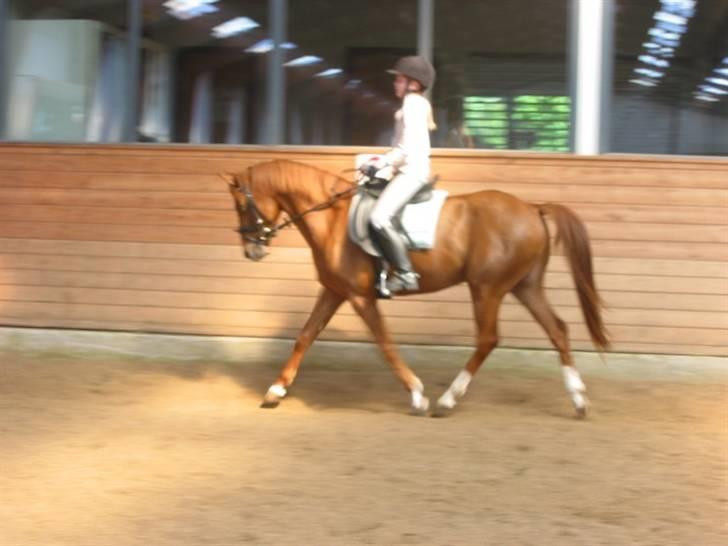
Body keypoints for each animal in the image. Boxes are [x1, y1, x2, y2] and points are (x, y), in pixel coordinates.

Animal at [223, 159, 609, 417]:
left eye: (242, 205)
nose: (251, 251)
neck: (332, 220)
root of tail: (532, 207)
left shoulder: (360, 297)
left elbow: (385, 344)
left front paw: (417, 396)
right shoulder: (333, 291)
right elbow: (305, 336)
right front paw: (275, 391)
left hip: (487, 288)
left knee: (488, 339)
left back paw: (447, 400)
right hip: (524, 286)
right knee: (557, 330)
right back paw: (578, 399)